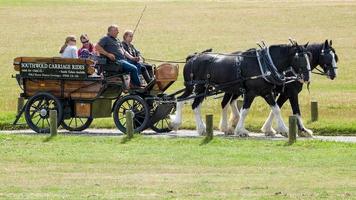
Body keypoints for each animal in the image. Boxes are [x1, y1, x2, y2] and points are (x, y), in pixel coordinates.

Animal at [171, 42, 310, 136]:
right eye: (299, 58)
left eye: (309, 57)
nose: (307, 77)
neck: (264, 64)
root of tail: (192, 57)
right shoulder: (251, 93)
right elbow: (245, 111)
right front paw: (241, 130)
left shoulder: (266, 92)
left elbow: (276, 109)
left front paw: (284, 130)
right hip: (196, 86)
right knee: (186, 102)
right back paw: (187, 125)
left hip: (199, 88)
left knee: (188, 102)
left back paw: (199, 128)